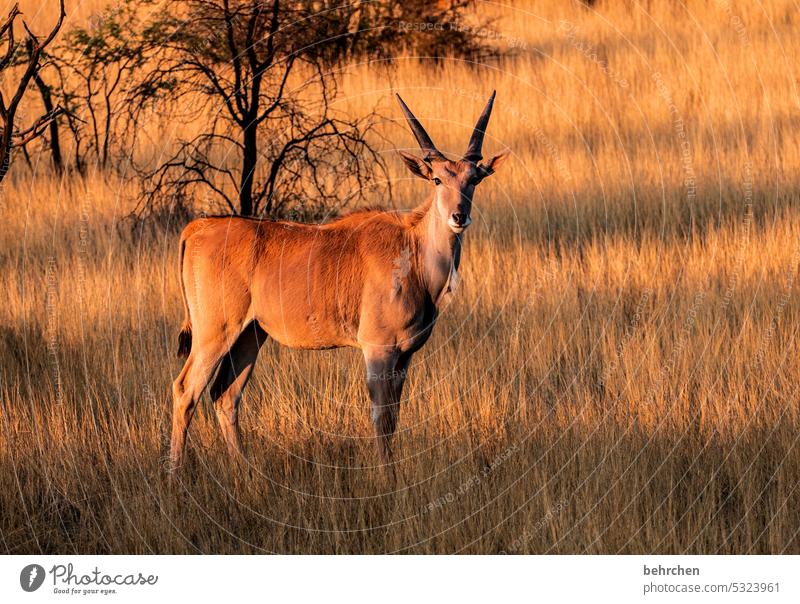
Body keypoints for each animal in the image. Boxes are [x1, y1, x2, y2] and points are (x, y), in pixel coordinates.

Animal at [170, 92, 506, 472]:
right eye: (436, 179)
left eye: (473, 180)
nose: (458, 216)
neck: (413, 249)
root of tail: (198, 228)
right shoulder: (378, 350)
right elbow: (381, 419)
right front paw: (387, 478)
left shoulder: (403, 357)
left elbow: (394, 417)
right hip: (214, 333)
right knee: (186, 390)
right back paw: (174, 475)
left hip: (249, 334)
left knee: (225, 395)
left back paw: (247, 472)